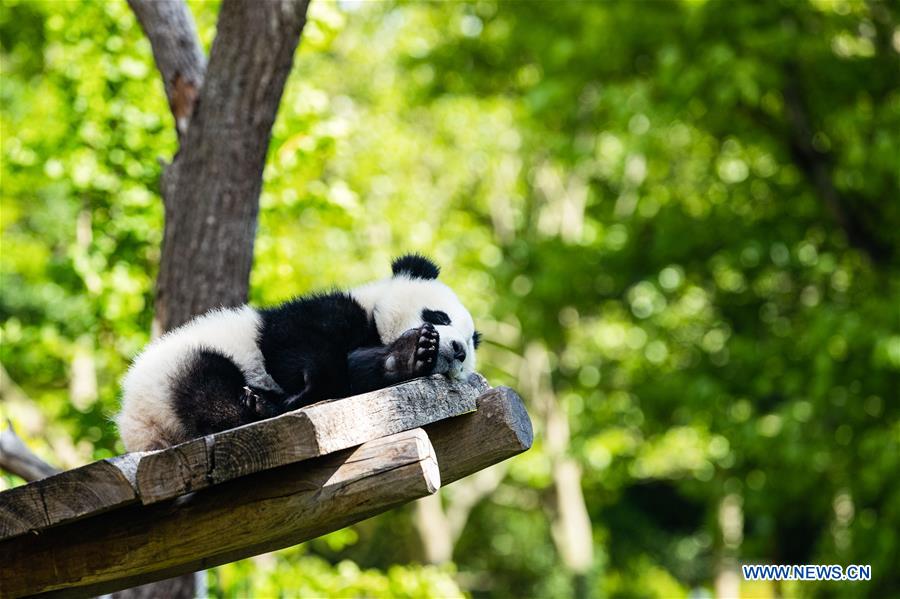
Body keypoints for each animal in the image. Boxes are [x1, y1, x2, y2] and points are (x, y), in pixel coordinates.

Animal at [116, 255, 482, 452]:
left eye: (469, 345)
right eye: (440, 316)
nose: (458, 350)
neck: (374, 325)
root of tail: (138, 430)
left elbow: (359, 373)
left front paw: (408, 357)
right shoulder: (319, 313)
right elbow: (294, 345)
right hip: (174, 369)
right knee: (208, 390)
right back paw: (258, 405)